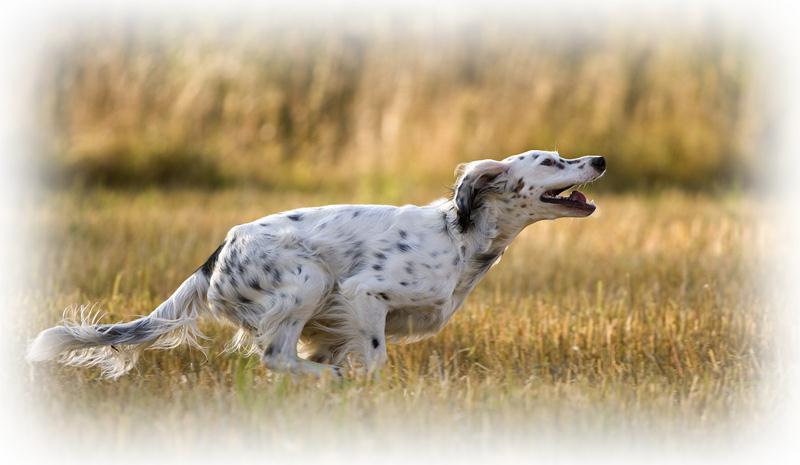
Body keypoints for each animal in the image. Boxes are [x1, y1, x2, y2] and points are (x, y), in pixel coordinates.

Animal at [29, 150, 608, 376]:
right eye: (552, 161)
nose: (600, 159)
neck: (459, 237)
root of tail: (218, 253)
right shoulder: (362, 295)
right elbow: (373, 358)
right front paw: (359, 386)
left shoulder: (334, 327)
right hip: (309, 279)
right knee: (275, 356)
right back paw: (329, 381)